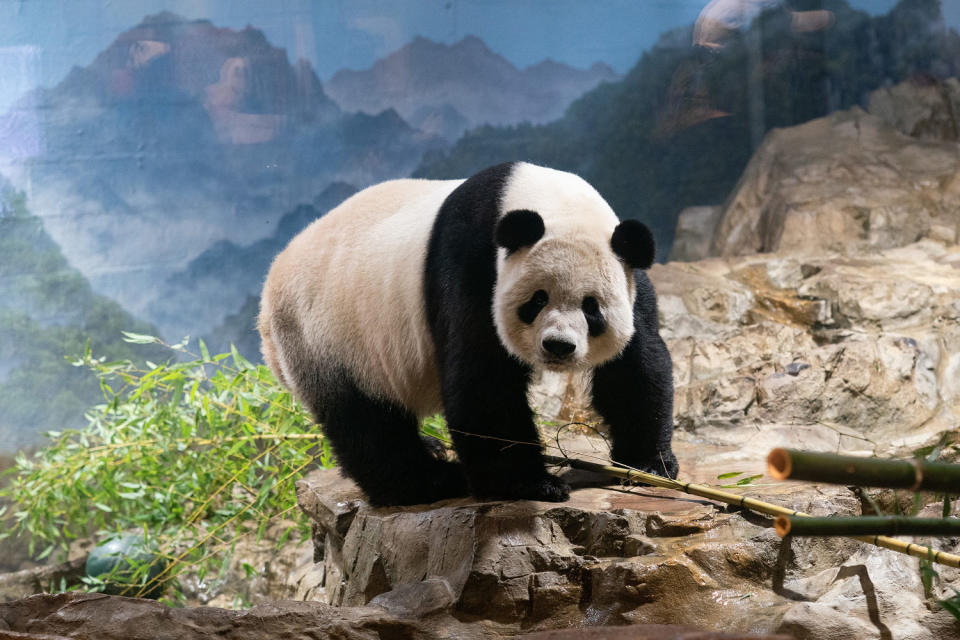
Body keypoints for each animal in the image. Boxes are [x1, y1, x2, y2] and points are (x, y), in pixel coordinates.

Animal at [258, 160, 680, 504]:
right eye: (537, 300)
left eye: (592, 307)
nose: (558, 346)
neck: (549, 201)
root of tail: (268, 292)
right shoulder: (471, 265)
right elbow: (482, 382)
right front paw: (530, 484)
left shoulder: (629, 274)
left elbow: (635, 367)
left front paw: (648, 464)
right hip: (329, 341)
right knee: (367, 424)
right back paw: (432, 481)